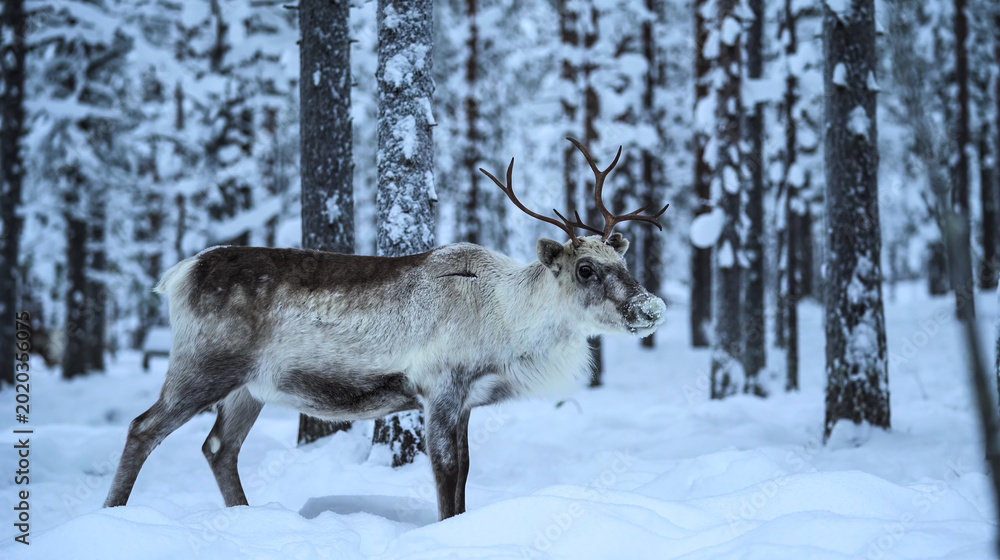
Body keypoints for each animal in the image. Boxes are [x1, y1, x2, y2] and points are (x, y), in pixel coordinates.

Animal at [103, 137, 669, 521]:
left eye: (622, 260)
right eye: (585, 269)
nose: (652, 307)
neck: (507, 321)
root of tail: (179, 273)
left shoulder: (466, 400)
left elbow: (465, 472)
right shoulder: (440, 388)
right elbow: (446, 473)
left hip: (249, 388)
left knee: (219, 448)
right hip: (203, 365)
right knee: (142, 428)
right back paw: (111, 513)